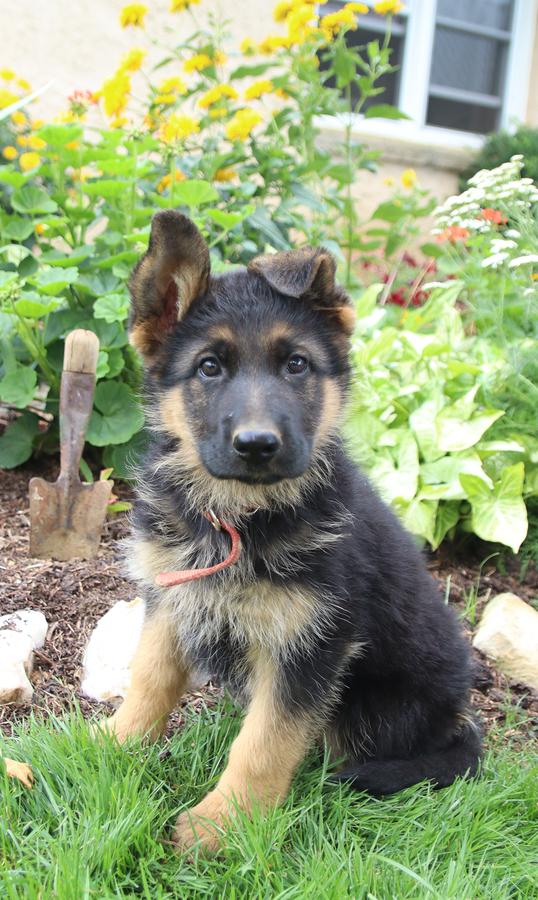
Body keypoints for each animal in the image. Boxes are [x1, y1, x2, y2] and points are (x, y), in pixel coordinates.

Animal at [101, 209, 482, 852]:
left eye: (296, 364)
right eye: (209, 367)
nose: (257, 445)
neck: (240, 518)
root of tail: (457, 718)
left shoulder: (309, 645)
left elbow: (264, 742)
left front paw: (221, 826)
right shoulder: (172, 597)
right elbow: (149, 677)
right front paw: (110, 743)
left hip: (372, 708)